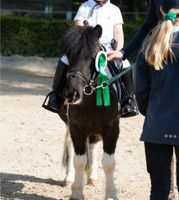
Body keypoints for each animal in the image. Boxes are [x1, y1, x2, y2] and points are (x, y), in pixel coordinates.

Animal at [59, 24, 120, 199]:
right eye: (69, 56)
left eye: (93, 57)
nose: (71, 94)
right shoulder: (76, 127)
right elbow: (79, 161)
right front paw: (76, 193)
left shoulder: (111, 129)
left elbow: (109, 163)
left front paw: (111, 194)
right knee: (70, 144)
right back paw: (69, 178)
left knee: (93, 145)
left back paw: (92, 177)